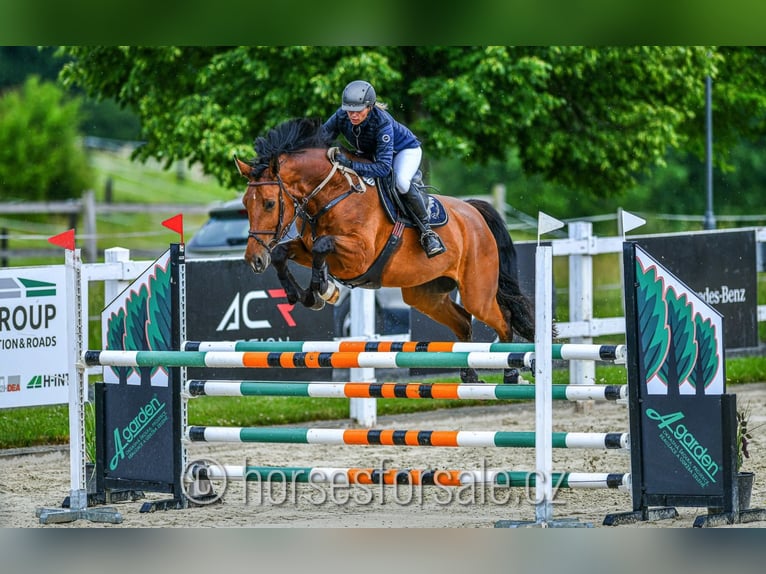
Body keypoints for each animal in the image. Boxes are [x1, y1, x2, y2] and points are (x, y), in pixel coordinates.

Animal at [234, 117, 536, 384]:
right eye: (246, 203)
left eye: (270, 203)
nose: (253, 260)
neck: (332, 194)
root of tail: (474, 212)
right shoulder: (307, 247)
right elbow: (282, 254)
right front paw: (305, 295)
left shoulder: (359, 257)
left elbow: (323, 245)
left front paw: (323, 289)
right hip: (425, 294)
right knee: (463, 322)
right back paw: (470, 376)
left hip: (477, 292)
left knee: (503, 319)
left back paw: (511, 374)